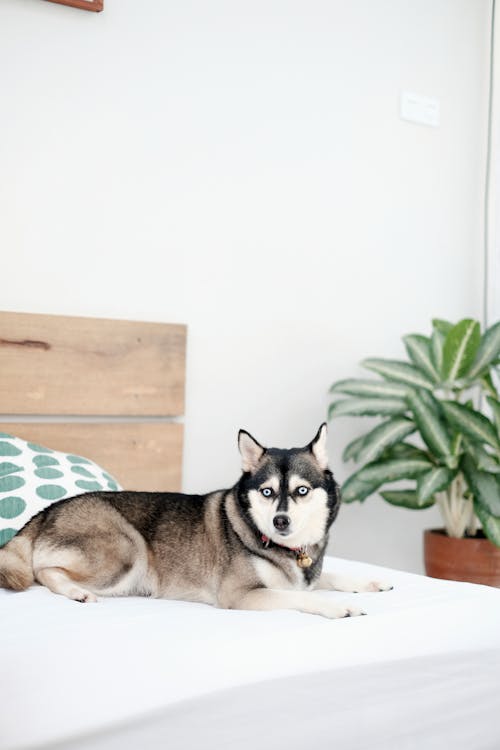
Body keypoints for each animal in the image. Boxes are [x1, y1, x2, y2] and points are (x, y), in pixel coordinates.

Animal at [0, 426, 390, 620]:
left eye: (302, 490)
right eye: (267, 491)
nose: (281, 521)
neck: (287, 550)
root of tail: (47, 510)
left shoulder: (306, 573)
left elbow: (328, 577)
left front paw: (370, 582)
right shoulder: (240, 595)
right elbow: (299, 596)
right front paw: (338, 606)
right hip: (128, 547)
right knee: (44, 571)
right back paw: (76, 592)